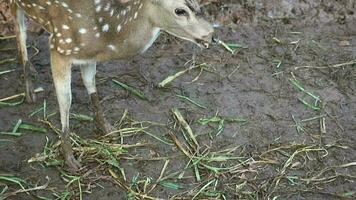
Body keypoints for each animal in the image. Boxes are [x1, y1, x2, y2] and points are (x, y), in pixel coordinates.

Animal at [8, 0, 214, 170]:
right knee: (20, 31)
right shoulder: (60, 46)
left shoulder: (88, 57)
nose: (211, 34)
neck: (106, 33)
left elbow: (91, 84)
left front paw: (107, 128)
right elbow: (65, 101)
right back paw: (29, 90)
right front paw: (69, 157)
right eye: (180, 10)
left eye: (198, 4)